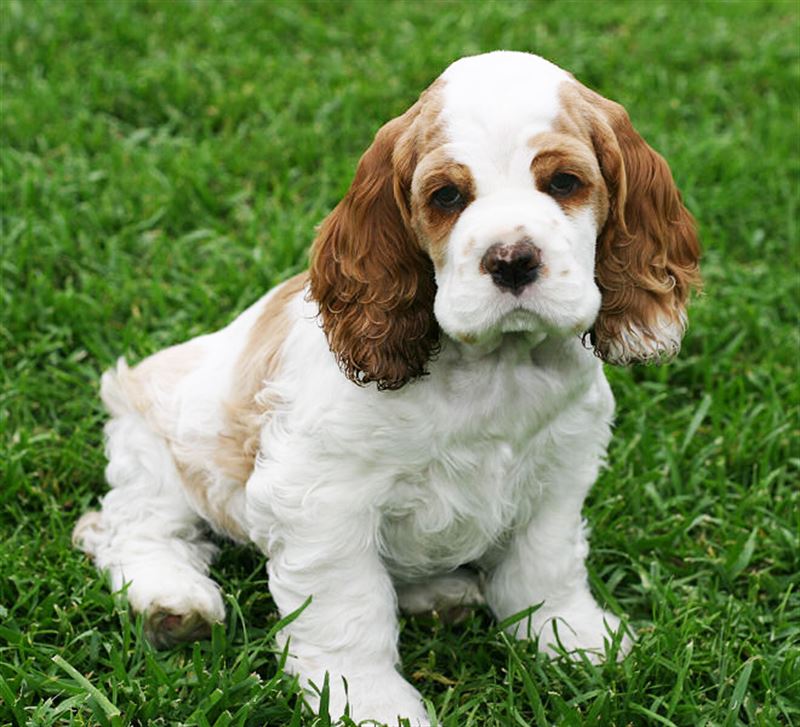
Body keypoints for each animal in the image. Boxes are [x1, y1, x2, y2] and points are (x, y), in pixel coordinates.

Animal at [73, 49, 700, 724]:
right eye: (447, 195)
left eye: (563, 183)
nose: (512, 261)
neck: (494, 369)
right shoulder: (324, 499)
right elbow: (351, 609)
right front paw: (368, 700)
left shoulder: (559, 471)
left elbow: (547, 566)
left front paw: (573, 638)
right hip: (156, 454)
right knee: (131, 529)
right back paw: (173, 603)